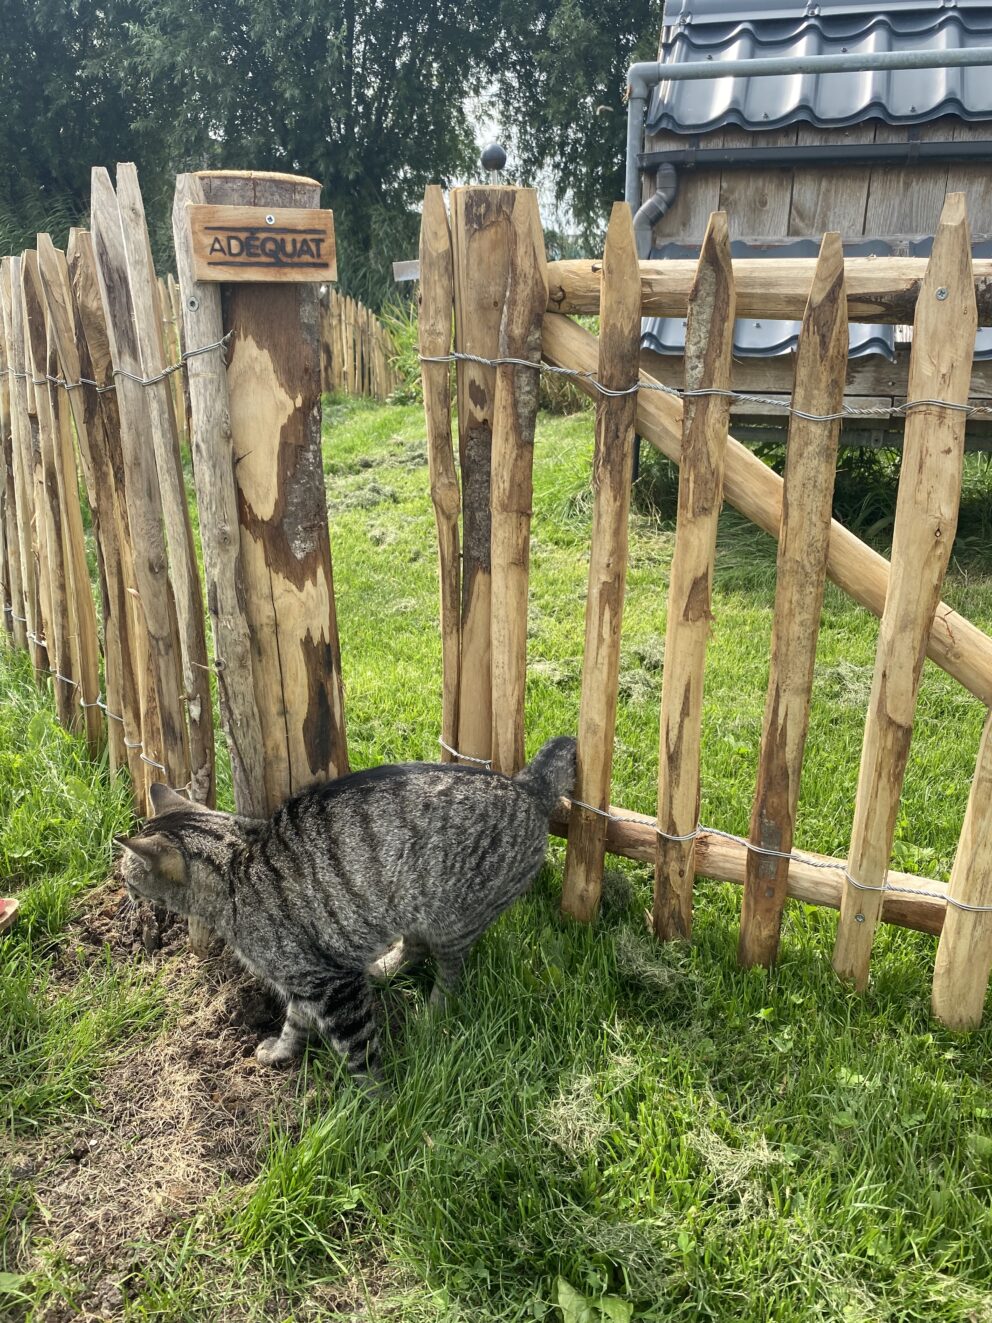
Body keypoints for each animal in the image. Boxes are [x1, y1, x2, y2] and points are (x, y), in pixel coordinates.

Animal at [117, 740, 579, 1079]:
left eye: (126, 877)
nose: (124, 893)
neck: (234, 867)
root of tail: (528, 788)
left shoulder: (334, 985)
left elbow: (358, 1051)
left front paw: (375, 1105)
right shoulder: (307, 981)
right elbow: (295, 1023)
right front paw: (281, 1052)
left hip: (453, 921)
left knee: (450, 972)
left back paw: (433, 1013)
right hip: (409, 907)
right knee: (414, 948)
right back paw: (387, 968)